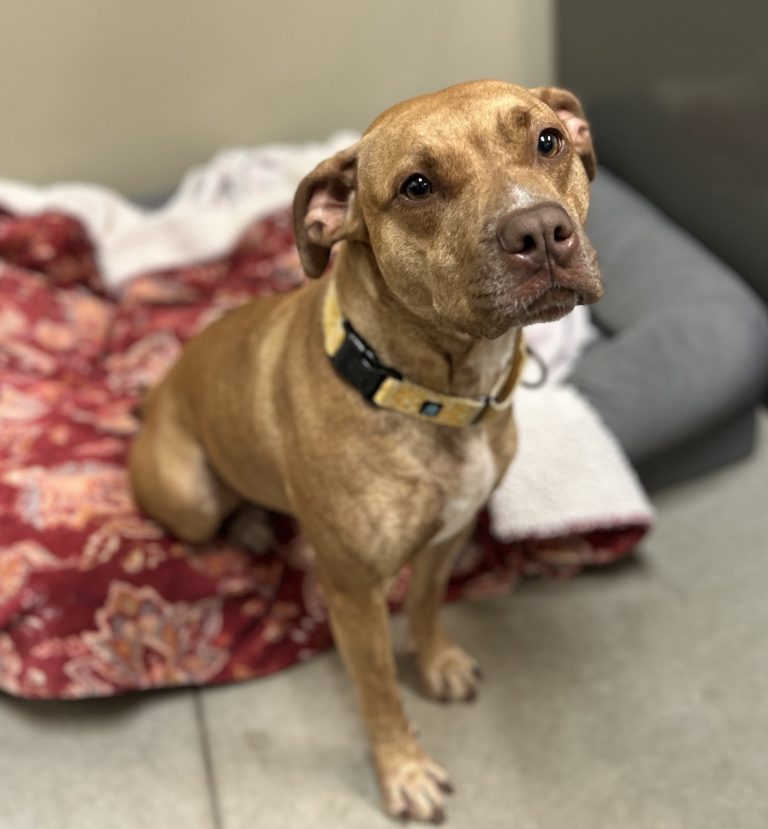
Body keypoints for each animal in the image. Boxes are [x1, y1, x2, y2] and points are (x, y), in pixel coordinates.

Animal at [129, 80, 603, 823]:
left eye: (547, 140)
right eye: (416, 186)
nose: (538, 231)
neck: (432, 392)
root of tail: (156, 394)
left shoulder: (450, 536)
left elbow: (428, 605)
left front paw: (436, 661)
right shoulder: (353, 593)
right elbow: (378, 689)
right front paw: (403, 771)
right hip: (189, 495)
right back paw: (251, 526)